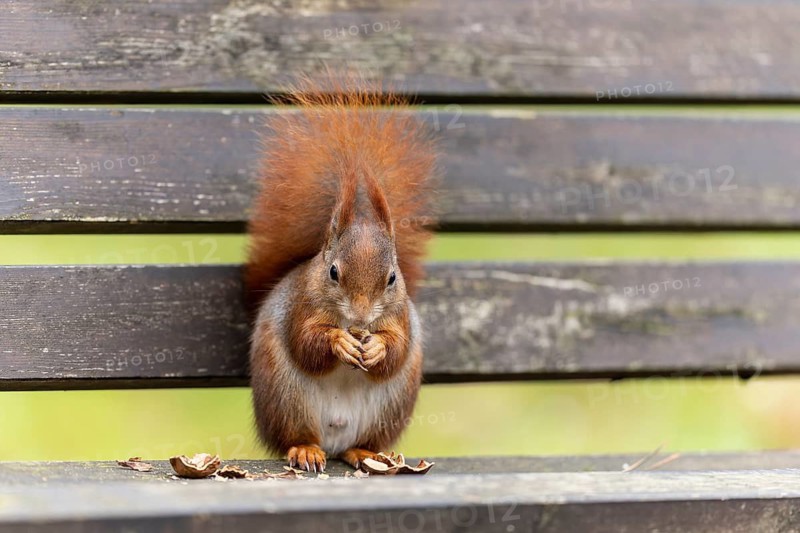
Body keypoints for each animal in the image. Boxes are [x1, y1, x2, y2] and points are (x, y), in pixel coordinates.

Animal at [245, 76, 437, 472]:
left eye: (392, 278)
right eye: (333, 272)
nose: (361, 320)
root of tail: (334, 440)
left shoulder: (398, 316)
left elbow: (397, 347)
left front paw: (377, 346)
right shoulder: (302, 305)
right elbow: (305, 343)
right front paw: (340, 341)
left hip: (391, 406)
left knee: (363, 441)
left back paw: (365, 453)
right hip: (286, 397)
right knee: (297, 435)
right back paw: (305, 450)